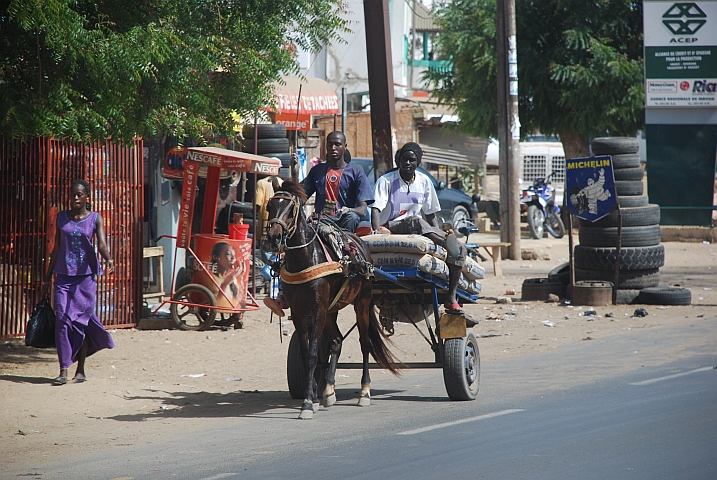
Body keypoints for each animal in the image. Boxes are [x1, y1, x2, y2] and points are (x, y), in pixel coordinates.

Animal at [264, 181, 398, 420]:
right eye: (271, 205)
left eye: (290, 208)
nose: (274, 238)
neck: (305, 258)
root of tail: (360, 244)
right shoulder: (300, 312)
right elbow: (309, 355)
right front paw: (315, 397)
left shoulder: (317, 308)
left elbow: (312, 355)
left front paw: (308, 404)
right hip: (331, 309)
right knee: (336, 341)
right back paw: (328, 390)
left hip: (361, 302)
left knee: (365, 343)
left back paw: (364, 392)